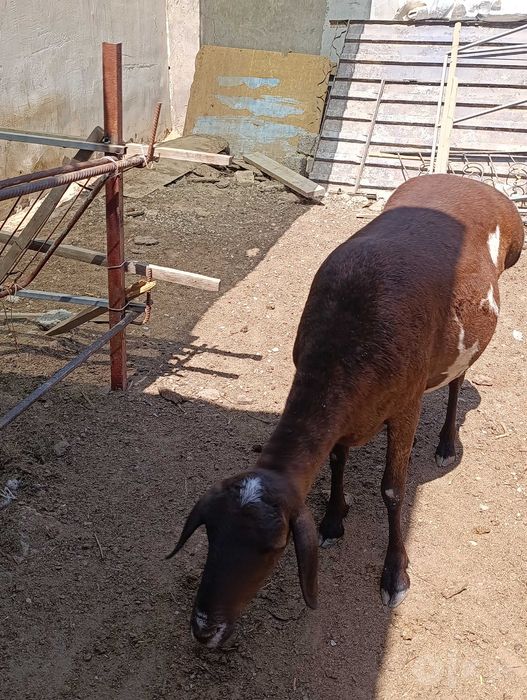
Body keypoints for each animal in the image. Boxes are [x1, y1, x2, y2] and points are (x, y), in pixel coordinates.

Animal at [167, 174, 524, 648]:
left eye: (274, 547)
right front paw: (334, 521)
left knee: (458, 380)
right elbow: (336, 459)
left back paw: (447, 444)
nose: (205, 629)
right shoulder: (344, 416)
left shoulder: (406, 402)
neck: (344, 350)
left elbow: (393, 490)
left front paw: (395, 577)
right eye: (209, 533)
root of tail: (467, 181)